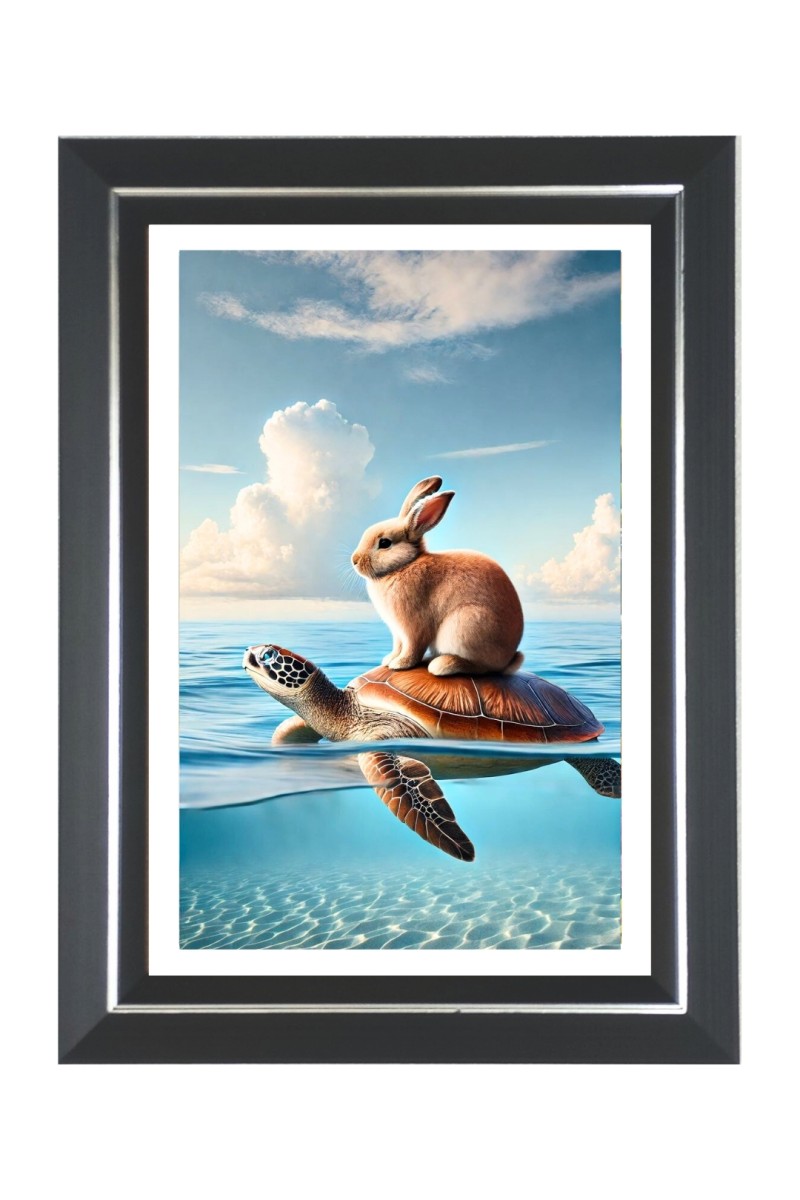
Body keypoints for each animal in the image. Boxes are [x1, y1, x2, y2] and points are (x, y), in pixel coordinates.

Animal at [351, 476, 524, 676]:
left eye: (385, 543)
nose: (354, 560)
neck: (405, 564)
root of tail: (506, 660)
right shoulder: (397, 632)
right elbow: (398, 646)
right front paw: (389, 660)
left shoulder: (413, 627)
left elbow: (412, 647)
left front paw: (400, 664)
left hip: (466, 625)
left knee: (481, 667)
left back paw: (442, 665)